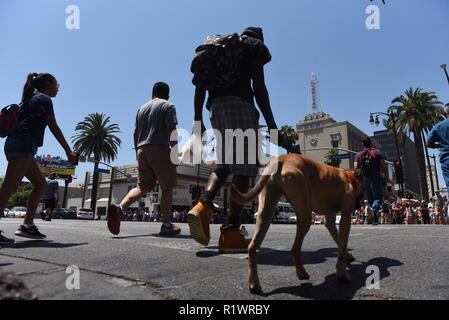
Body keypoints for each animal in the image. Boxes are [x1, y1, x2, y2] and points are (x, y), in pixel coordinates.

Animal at [229, 154, 362, 294]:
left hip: (266, 212)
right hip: (305, 213)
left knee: (253, 247)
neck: (350, 177)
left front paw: (347, 256)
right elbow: (342, 245)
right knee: (295, 248)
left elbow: (340, 242)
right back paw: (301, 273)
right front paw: (342, 272)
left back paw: (254, 283)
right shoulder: (345, 218)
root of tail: (282, 158)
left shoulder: (330, 220)